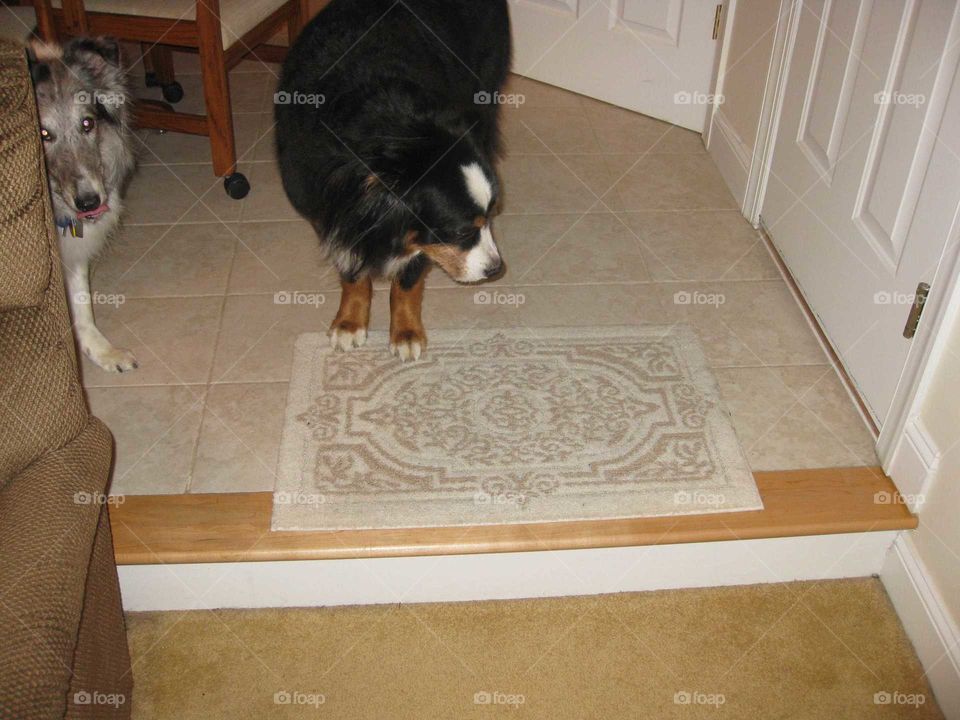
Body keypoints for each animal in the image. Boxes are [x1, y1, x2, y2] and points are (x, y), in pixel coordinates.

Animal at [28, 35, 137, 372]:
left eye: (88, 123)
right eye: (43, 133)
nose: (90, 202)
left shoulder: (71, 251)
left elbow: (82, 304)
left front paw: (103, 352)